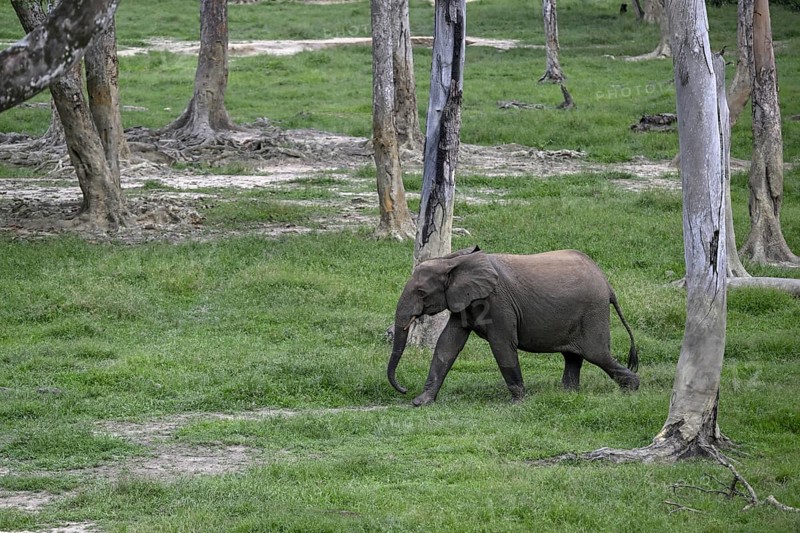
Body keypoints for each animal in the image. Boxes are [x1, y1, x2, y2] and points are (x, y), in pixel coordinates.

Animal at [388, 246, 639, 406]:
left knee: (597, 354)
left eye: (421, 292)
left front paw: (517, 403)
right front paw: (421, 402)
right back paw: (568, 394)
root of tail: (608, 285)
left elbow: (502, 346)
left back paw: (632, 389)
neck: (452, 260)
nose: (404, 389)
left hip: (592, 312)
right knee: (573, 357)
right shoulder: (464, 301)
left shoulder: (498, 303)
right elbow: (446, 345)